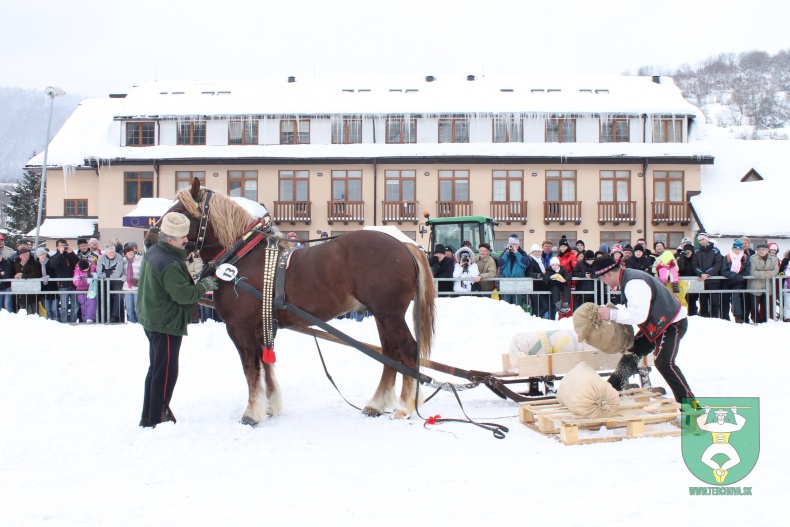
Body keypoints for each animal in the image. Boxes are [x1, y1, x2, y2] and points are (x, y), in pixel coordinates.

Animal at [155, 180, 440, 424]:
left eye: (178, 212)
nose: (151, 238)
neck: (243, 256)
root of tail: (403, 245)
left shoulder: (240, 328)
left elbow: (250, 369)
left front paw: (252, 413)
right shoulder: (261, 326)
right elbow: (265, 366)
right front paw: (270, 407)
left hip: (389, 314)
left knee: (407, 350)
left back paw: (403, 407)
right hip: (382, 316)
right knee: (390, 353)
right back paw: (376, 405)